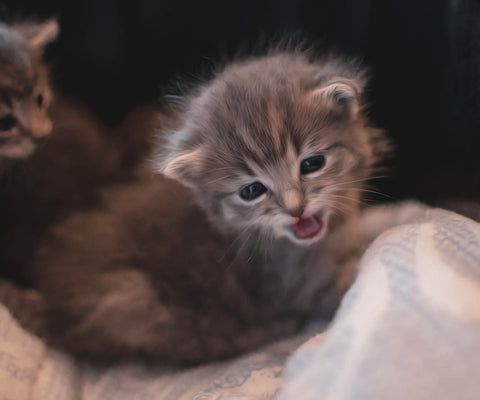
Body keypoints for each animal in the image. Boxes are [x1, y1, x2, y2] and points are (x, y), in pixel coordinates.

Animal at [8, 49, 394, 366]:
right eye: (252, 191)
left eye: (312, 164)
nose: (295, 208)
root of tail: (48, 293)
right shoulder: (289, 287)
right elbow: (336, 286)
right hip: (131, 298)